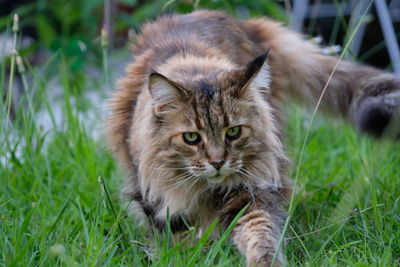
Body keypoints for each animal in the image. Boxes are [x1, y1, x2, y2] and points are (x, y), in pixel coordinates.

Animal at [105, 9, 400, 266]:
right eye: (191, 138)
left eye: (233, 132)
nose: (217, 162)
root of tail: (247, 22)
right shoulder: (152, 195)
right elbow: (174, 237)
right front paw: (183, 257)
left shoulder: (247, 192)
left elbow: (259, 231)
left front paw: (263, 261)